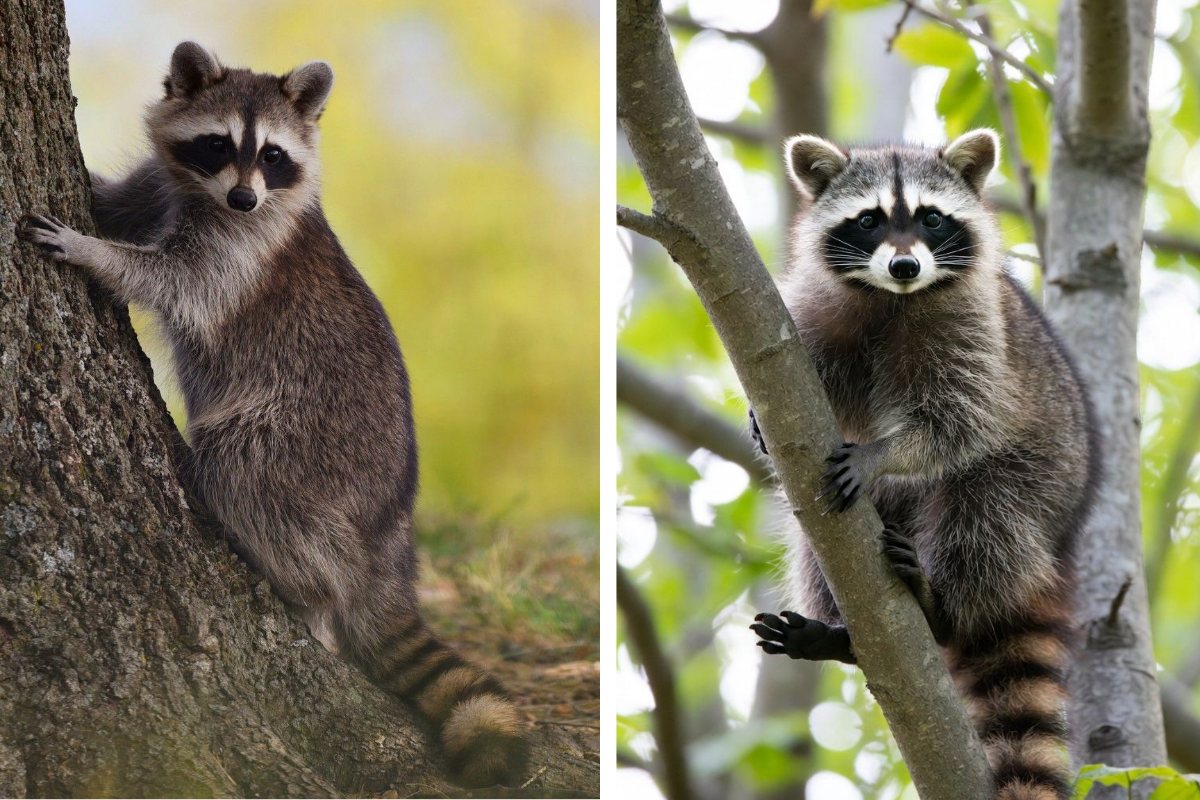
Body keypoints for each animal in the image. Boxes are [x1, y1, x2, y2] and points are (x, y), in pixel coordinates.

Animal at [20, 41, 529, 788]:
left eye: (274, 155)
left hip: (308, 443)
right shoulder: (164, 185)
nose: (243, 197)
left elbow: (172, 281)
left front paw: (93, 251)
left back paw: (307, 587)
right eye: (218, 145)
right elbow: (115, 203)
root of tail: (390, 528)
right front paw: (90, 195)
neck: (207, 196)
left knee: (245, 470)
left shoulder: (241, 253)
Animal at [748, 130, 1098, 800]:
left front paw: (884, 451)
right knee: (815, 545)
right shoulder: (811, 313)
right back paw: (839, 633)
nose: (905, 266)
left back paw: (941, 608)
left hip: (1045, 474)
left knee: (986, 514)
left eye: (932, 219)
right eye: (869, 221)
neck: (893, 299)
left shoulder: (974, 331)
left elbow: (958, 419)